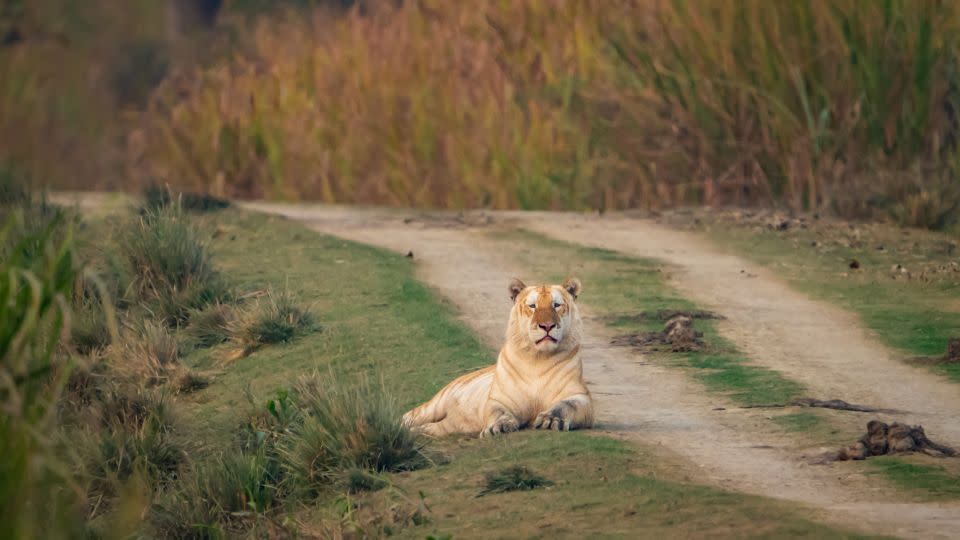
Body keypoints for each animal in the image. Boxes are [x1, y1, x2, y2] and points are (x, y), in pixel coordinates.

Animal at [400, 276, 592, 436]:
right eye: (533, 306)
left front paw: (551, 420)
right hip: (436, 403)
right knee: (408, 416)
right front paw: (498, 427)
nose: (547, 326)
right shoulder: (498, 399)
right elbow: (498, 412)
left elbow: (565, 405)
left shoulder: (580, 396)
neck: (538, 359)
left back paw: (415, 432)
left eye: (556, 305)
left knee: (431, 427)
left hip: (447, 426)